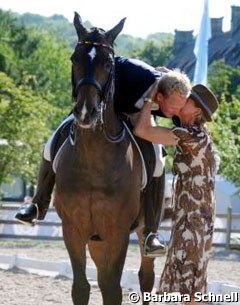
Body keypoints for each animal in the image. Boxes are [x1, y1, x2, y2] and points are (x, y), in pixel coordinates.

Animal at [53, 12, 164, 304]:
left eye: (107, 63)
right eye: (74, 59)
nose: (86, 112)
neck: (94, 158)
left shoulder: (117, 233)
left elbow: (113, 289)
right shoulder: (74, 230)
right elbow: (81, 287)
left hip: (140, 231)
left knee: (145, 277)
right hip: (96, 239)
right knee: (102, 279)